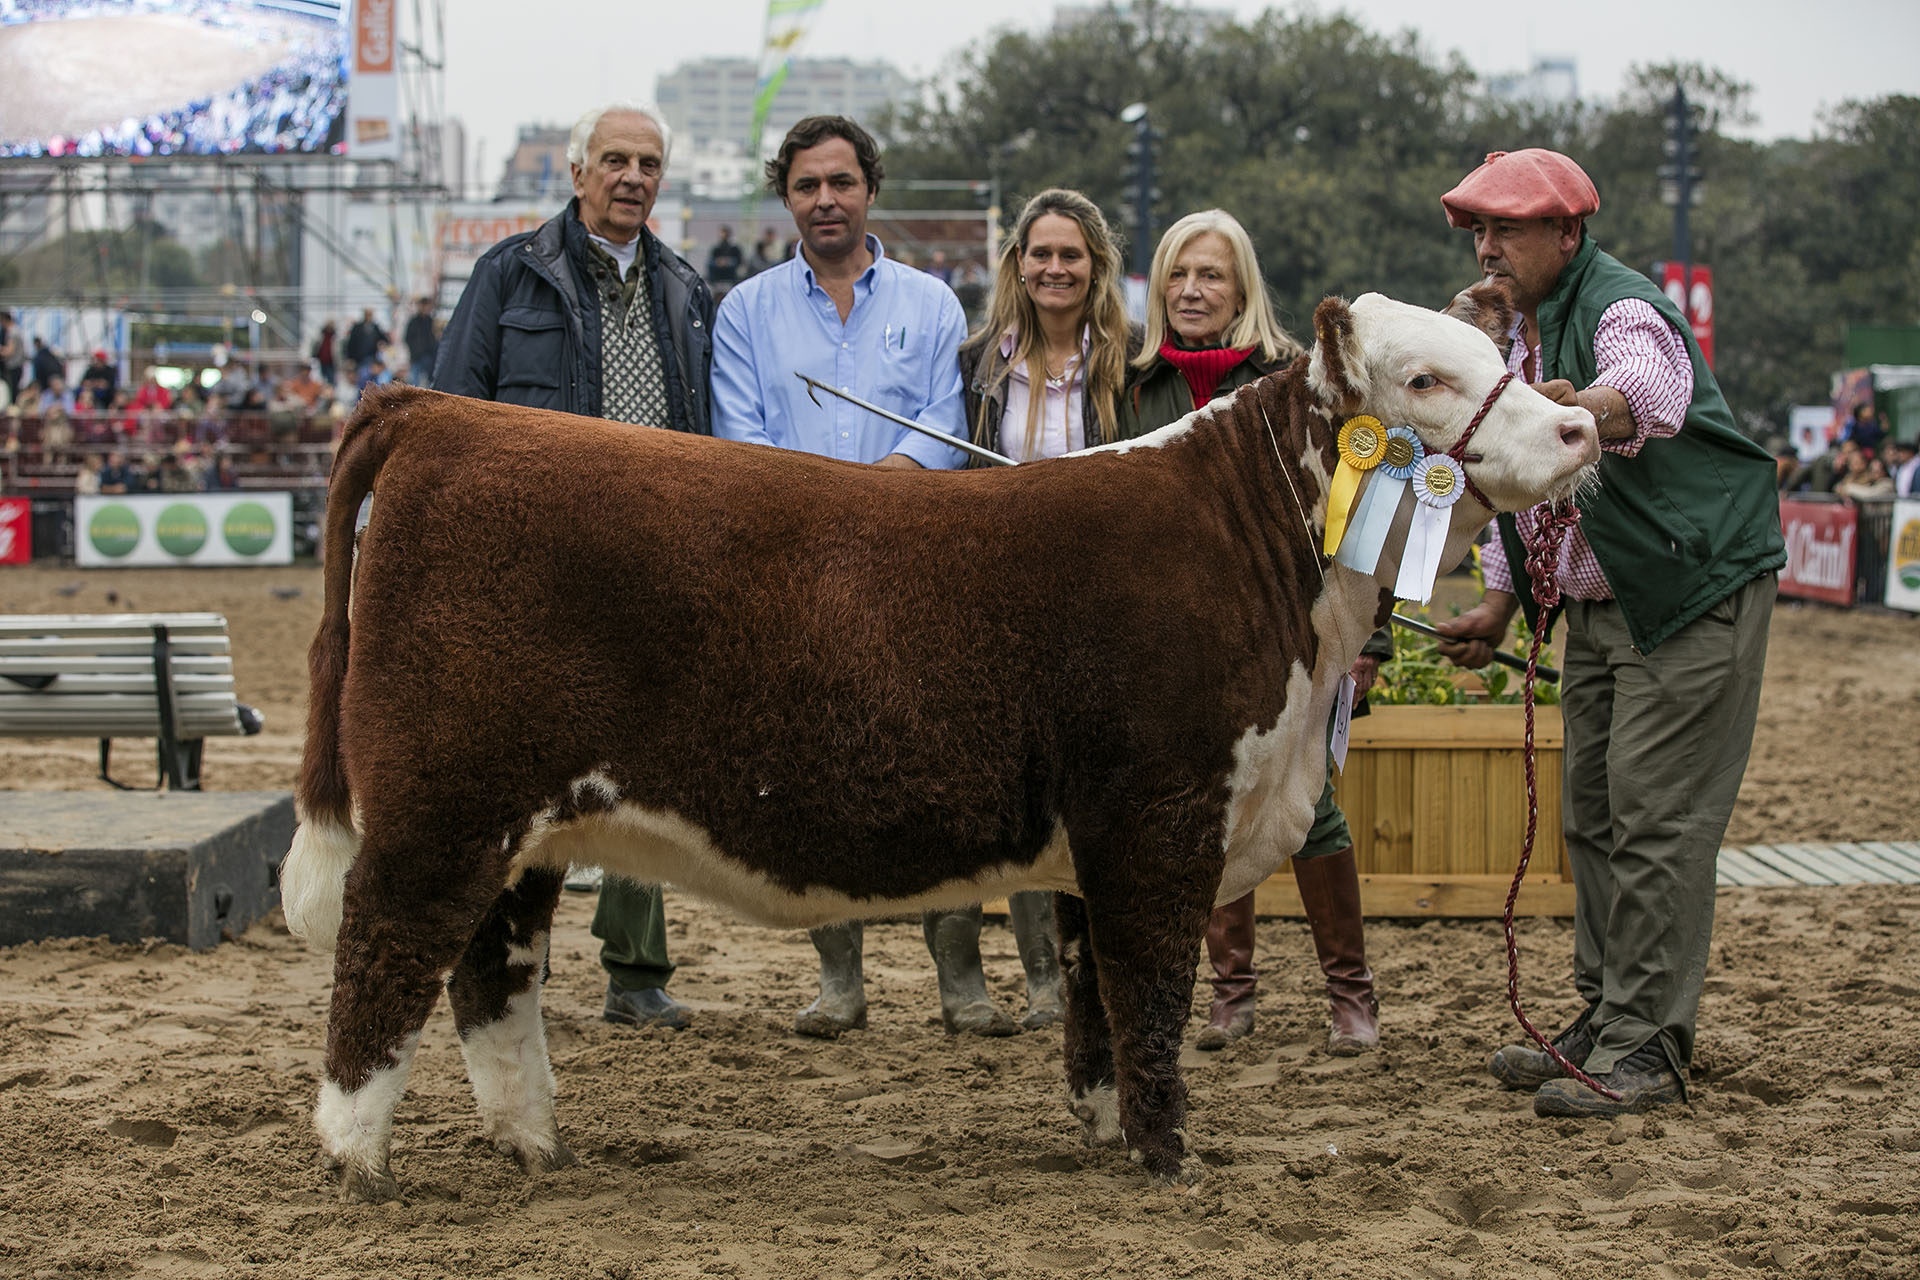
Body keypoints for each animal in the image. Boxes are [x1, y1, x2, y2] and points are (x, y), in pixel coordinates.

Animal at [278, 287, 1597, 1205]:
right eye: (1427, 376)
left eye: (1504, 361)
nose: (1583, 423)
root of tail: (442, 412)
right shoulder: (1161, 817)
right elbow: (1153, 991)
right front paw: (1171, 1154)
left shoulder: (1100, 842)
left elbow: (1097, 1003)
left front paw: (1107, 1129)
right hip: (441, 809)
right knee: (383, 956)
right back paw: (357, 1162)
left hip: (526, 829)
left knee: (490, 975)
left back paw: (536, 1144)